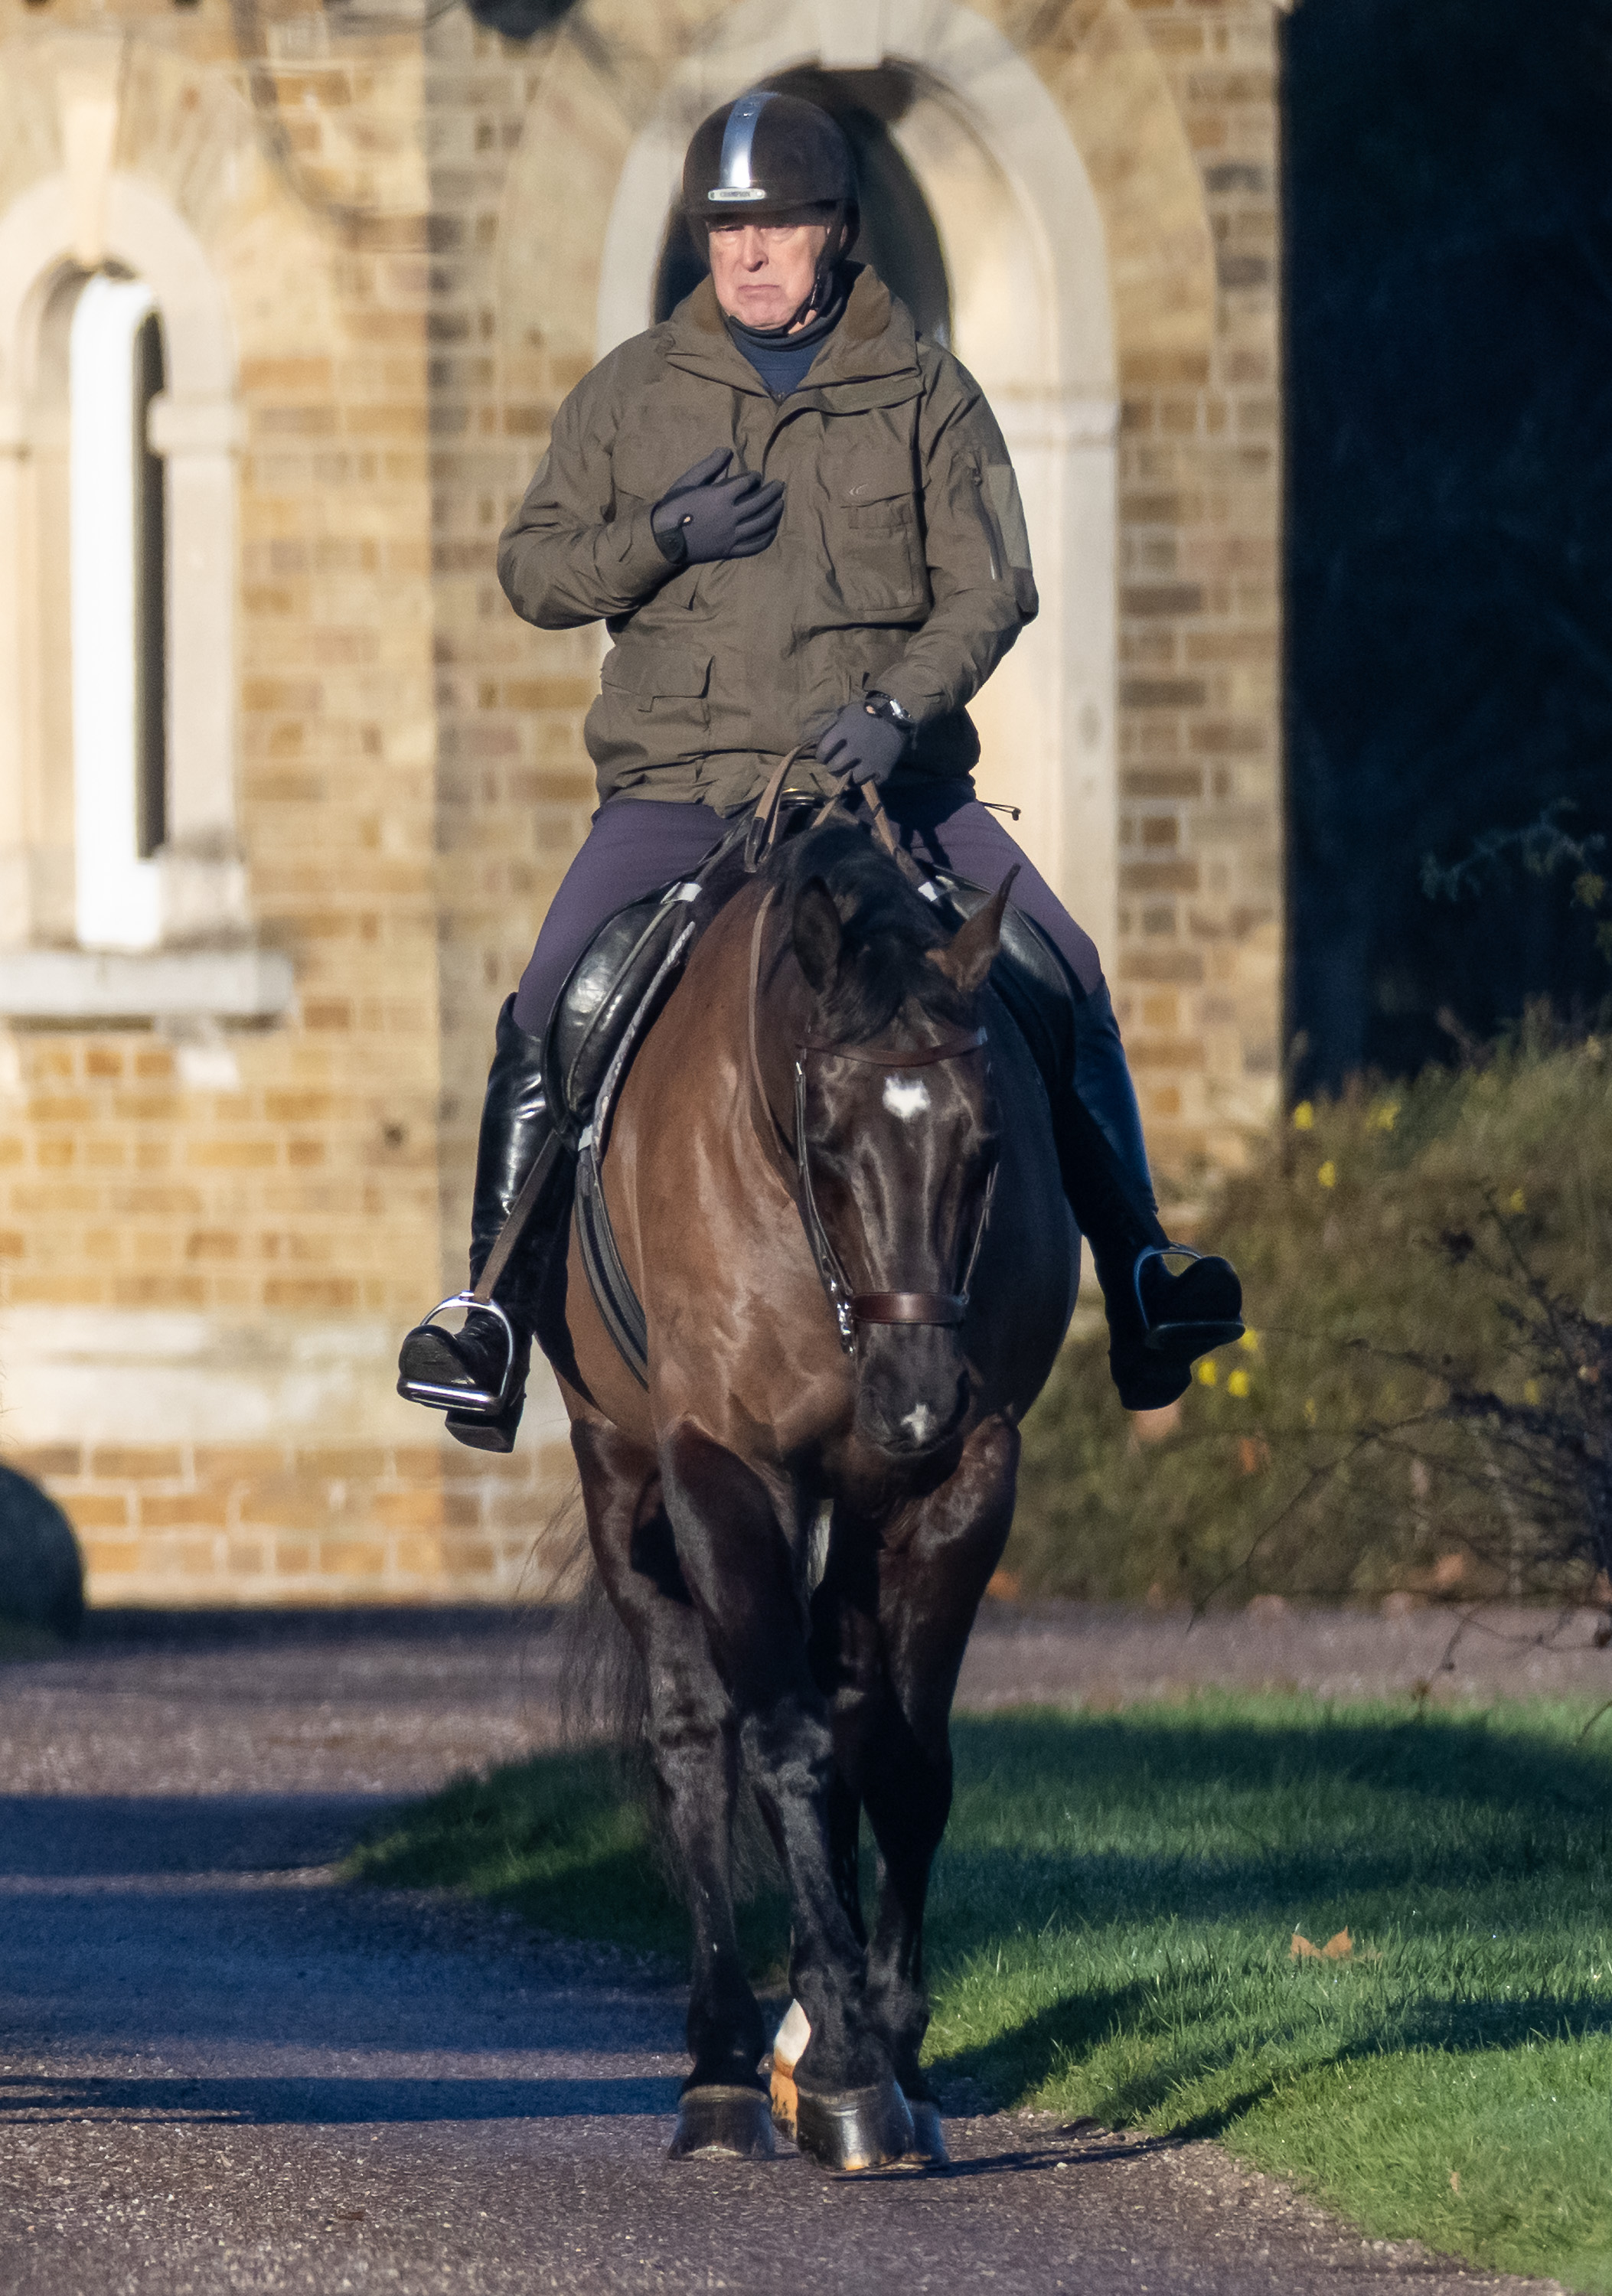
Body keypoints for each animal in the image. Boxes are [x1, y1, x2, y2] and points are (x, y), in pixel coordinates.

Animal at [547, 813, 1078, 2171]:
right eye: (828, 1143)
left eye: (988, 1146)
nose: (916, 1398)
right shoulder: (722, 1467)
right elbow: (778, 1741)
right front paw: (840, 2057)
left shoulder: (964, 1480)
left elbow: (906, 1764)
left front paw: (896, 2053)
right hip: (620, 1471)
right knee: (696, 1739)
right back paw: (726, 2067)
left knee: (844, 1711)